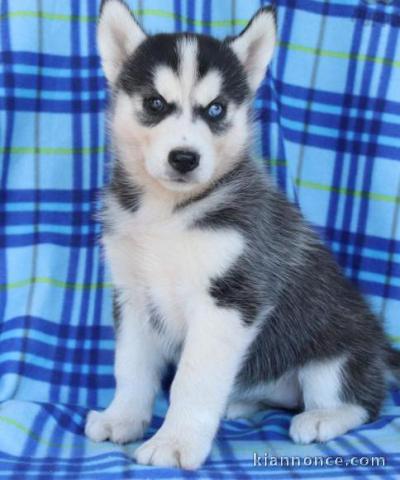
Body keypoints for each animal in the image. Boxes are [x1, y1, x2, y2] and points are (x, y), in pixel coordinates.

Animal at [85, 0, 400, 470]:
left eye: (216, 110)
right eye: (155, 103)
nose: (184, 158)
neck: (168, 213)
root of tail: (379, 348)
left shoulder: (230, 299)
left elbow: (192, 380)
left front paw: (175, 441)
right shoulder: (132, 295)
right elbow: (131, 367)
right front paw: (122, 417)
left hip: (334, 353)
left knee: (362, 401)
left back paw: (323, 417)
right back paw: (241, 402)